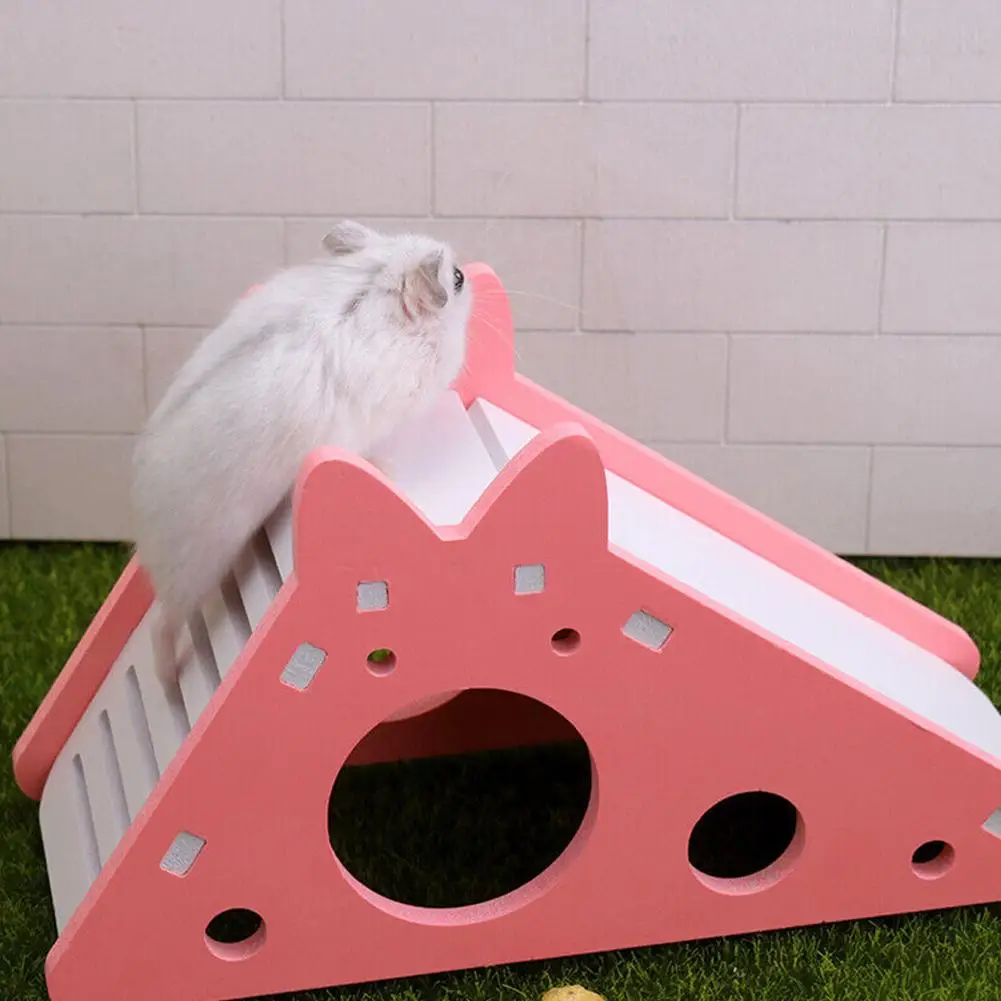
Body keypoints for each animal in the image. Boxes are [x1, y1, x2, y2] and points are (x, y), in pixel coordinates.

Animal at [132, 220, 473, 683]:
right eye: (456, 279)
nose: (470, 277)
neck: (375, 287)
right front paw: (386, 467)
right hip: (196, 567)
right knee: (161, 624)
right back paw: (168, 679)